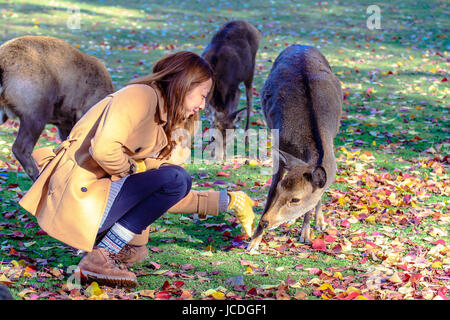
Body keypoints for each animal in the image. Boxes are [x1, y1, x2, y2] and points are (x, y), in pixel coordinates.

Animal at [246, 44, 342, 252]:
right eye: (280, 189)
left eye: (296, 199)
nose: (265, 221)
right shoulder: (279, 151)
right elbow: (270, 192)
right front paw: (253, 243)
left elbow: (316, 196)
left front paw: (306, 234)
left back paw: (319, 222)